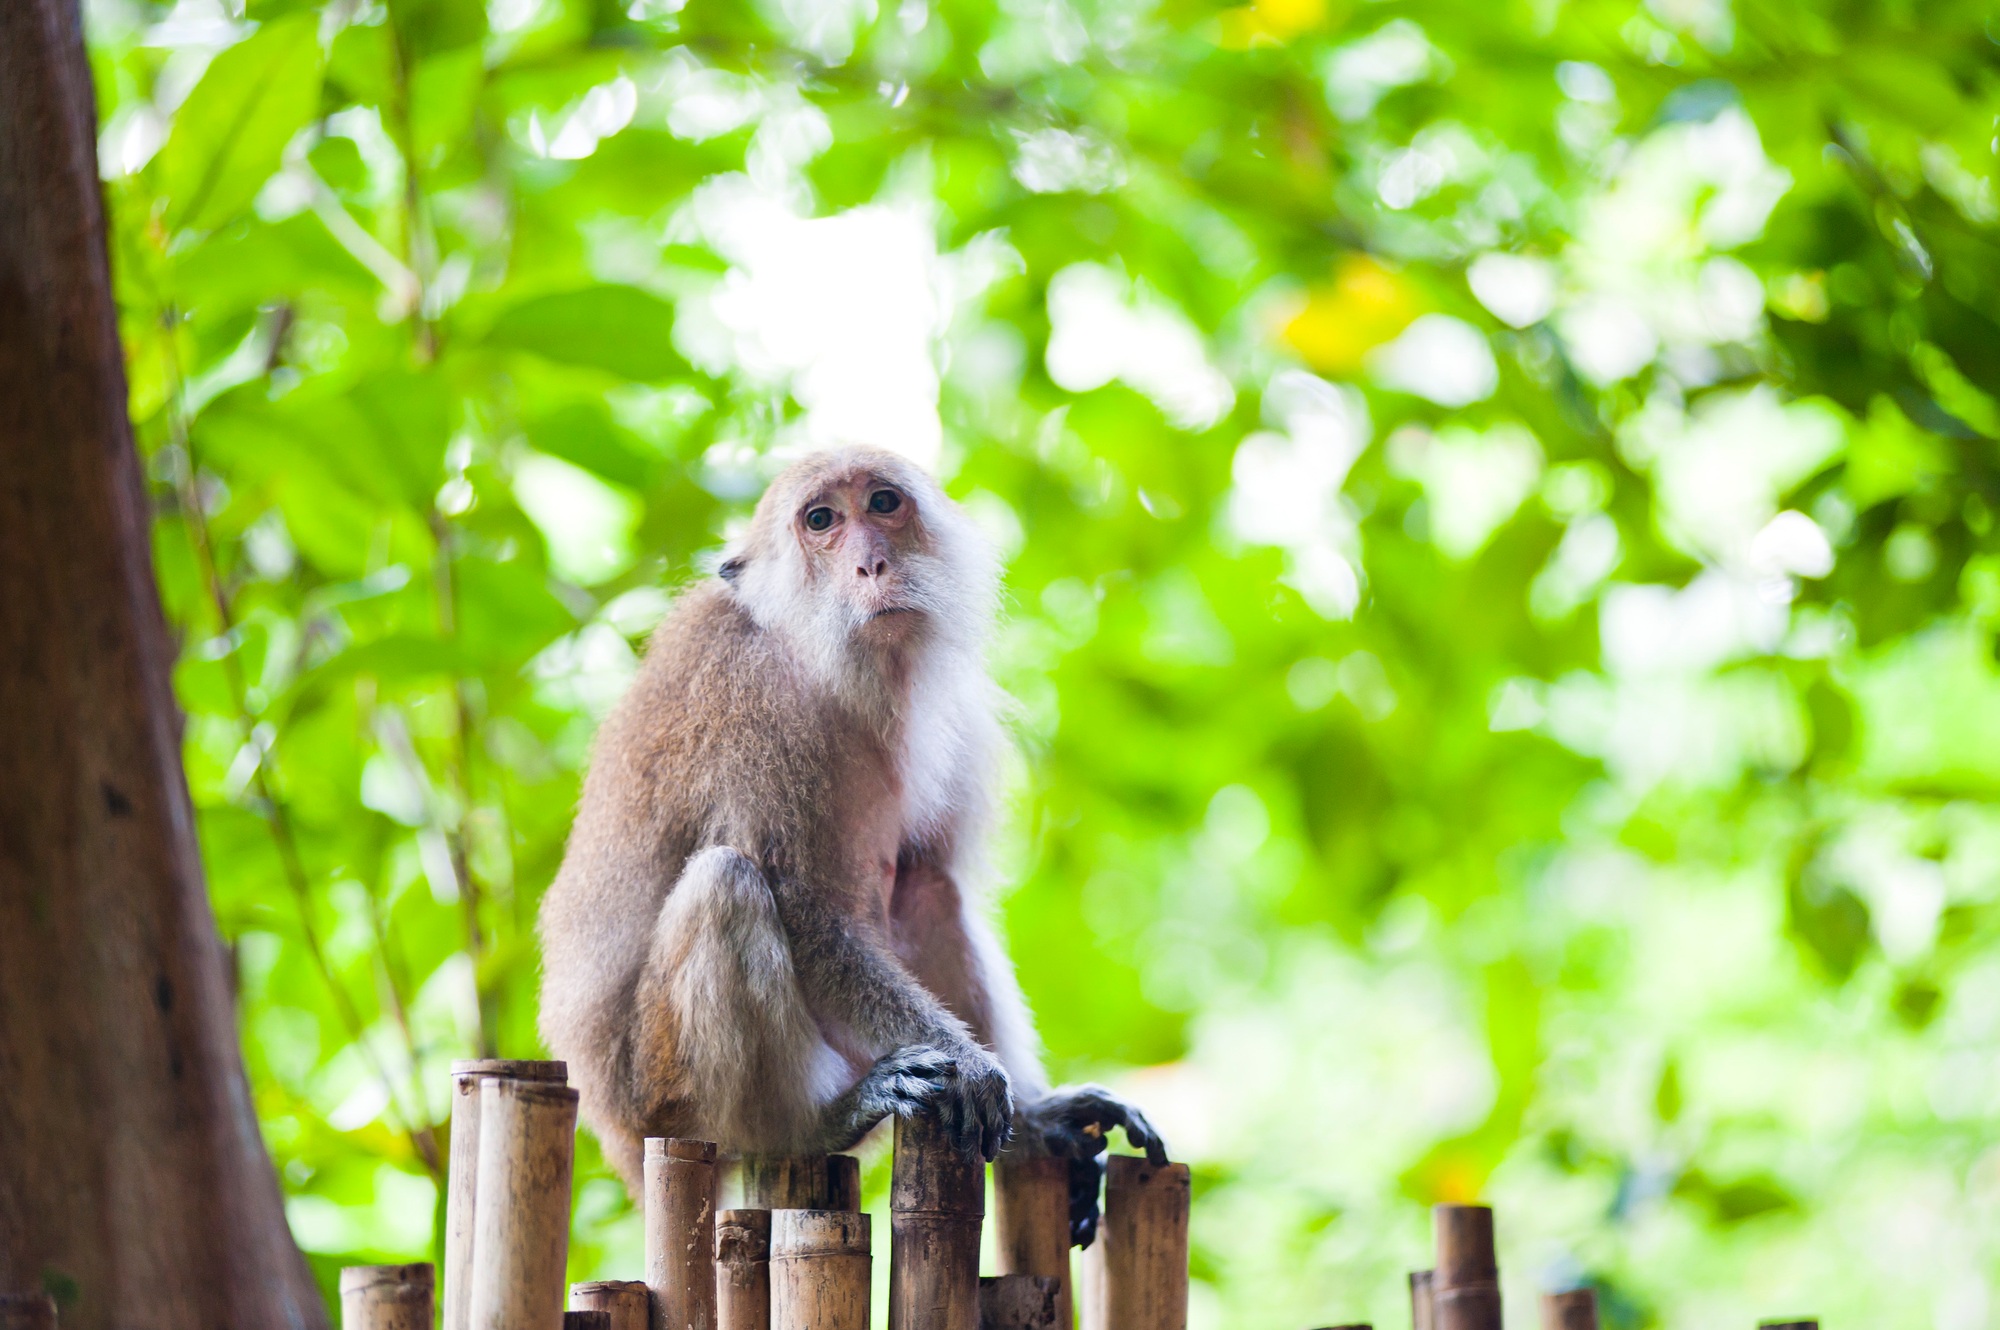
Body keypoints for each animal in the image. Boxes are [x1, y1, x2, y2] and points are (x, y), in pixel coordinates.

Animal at [540, 448, 1168, 1248]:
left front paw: (1031, 1113)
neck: (828, 664)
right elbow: (807, 911)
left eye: (883, 503)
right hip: (662, 1100)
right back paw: (810, 1126)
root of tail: (615, 1138)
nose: (872, 562)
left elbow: (929, 877)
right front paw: (974, 1066)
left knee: (923, 889)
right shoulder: (753, 702)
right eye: (820, 520)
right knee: (727, 884)